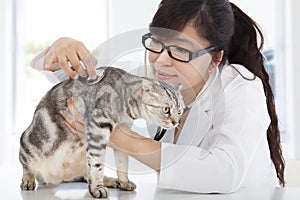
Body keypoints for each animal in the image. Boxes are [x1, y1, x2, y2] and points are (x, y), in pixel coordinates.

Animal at [19, 66, 185, 198]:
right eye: (166, 109)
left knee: (86, 174)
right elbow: (97, 165)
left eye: (180, 111)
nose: (175, 122)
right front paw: (97, 189)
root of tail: (60, 176)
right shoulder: (98, 129)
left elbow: (122, 163)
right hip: (30, 143)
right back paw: (28, 180)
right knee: (26, 163)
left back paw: (110, 180)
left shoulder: (123, 134)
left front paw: (124, 182)